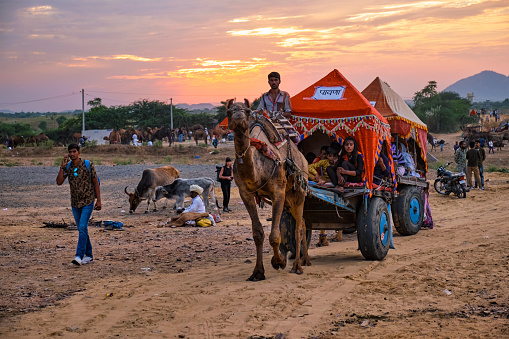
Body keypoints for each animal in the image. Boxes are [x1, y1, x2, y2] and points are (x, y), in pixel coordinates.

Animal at [226, 98, 310, 282]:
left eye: (247, 111)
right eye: (229, 112)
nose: (238, 115)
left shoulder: (278, 192)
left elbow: (275, 236)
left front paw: (279, 262)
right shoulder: (246, 194)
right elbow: (258, 234)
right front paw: (257, 272)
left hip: (299, 191)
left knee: (299, 228)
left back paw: (297, 266)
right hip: (289, 198)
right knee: (303, 223)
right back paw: (306, 260)